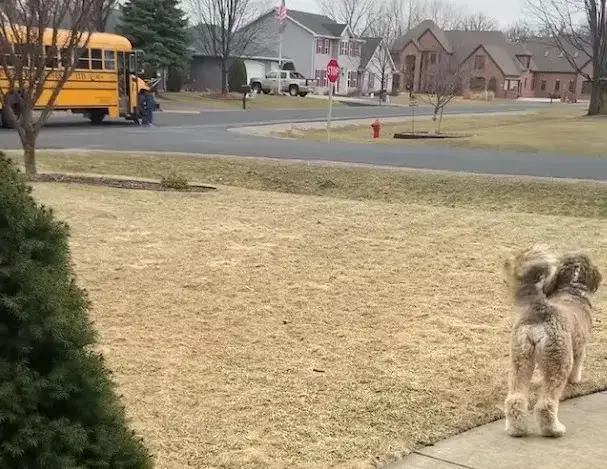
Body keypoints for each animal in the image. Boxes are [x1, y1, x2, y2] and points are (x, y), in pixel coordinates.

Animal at [504, 247, 604, 436]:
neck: (573, 289)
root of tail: (541, 310)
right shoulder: (580, 348)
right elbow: (578, 365)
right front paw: (576, 380)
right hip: (559, 361)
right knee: (546, 404)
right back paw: (554, 430)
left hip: (520, 359)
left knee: (515, 399)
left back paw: (517, 429)